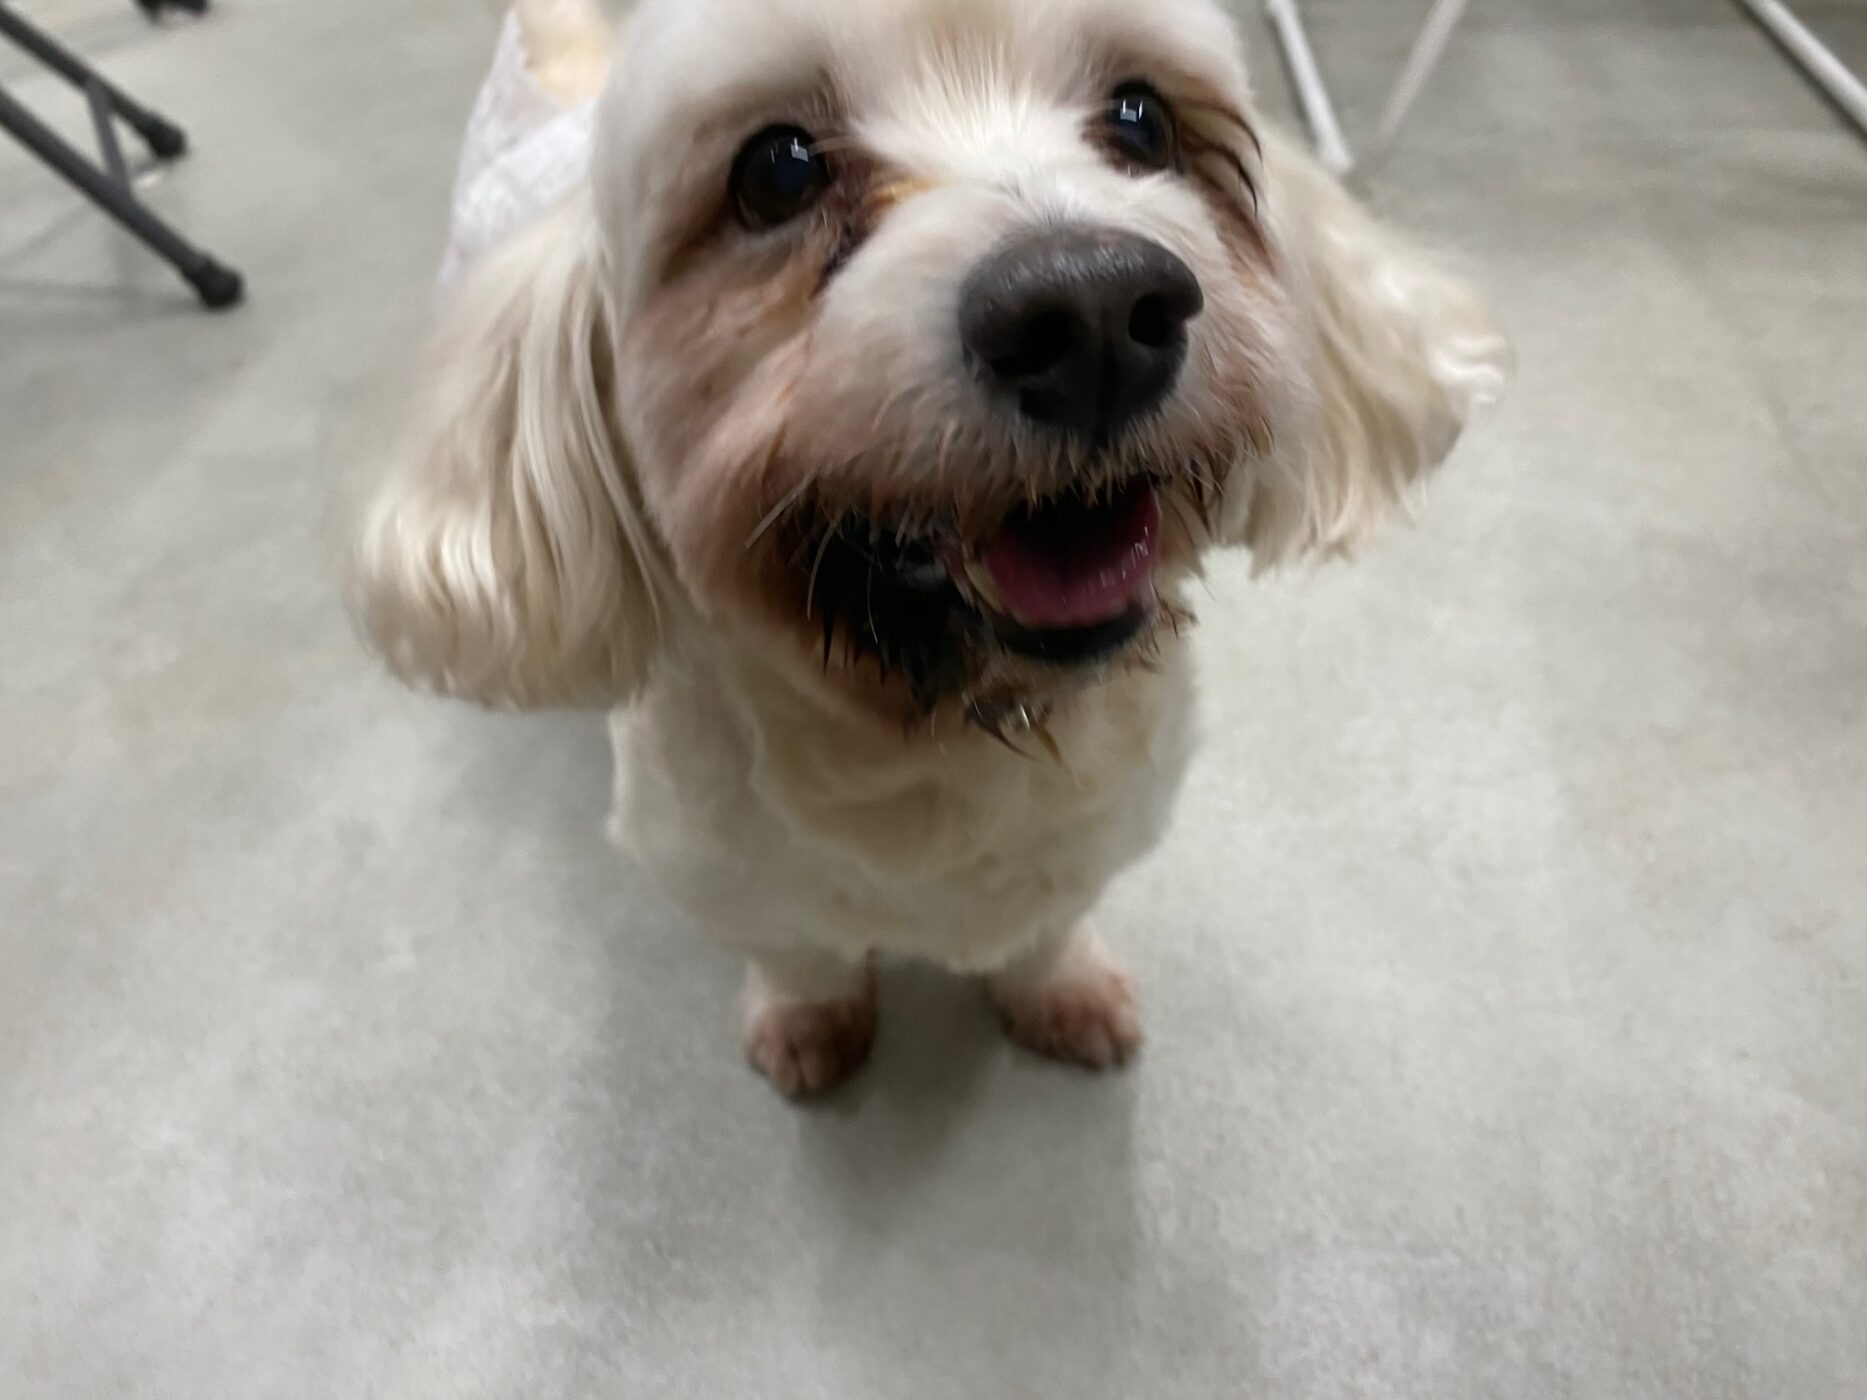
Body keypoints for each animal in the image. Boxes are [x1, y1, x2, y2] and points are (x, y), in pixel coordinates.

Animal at [351, 0, 1510, 1096]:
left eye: (1141, 118)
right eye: (776, 169)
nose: (1092, 310)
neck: (934, 728)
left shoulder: (1093, 836)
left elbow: (1044, 931)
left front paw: (1059, 988)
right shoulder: (723, 882)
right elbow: (803, 956)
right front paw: (810, 1020)